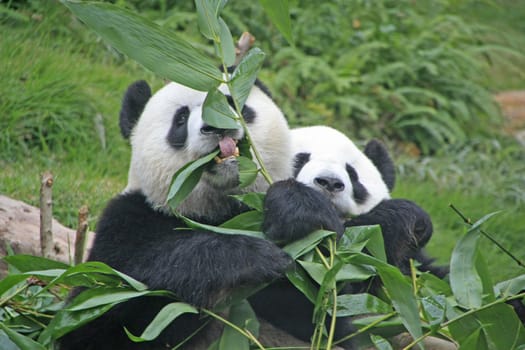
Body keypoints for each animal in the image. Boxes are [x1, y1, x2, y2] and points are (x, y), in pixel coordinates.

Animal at [58, 80, 312, 350]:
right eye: (180, 119)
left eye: (231, 102)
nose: (216, 126)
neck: (217, 211)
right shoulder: (126, 223)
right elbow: (96, 318)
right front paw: (249, 258)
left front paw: (293, 208)